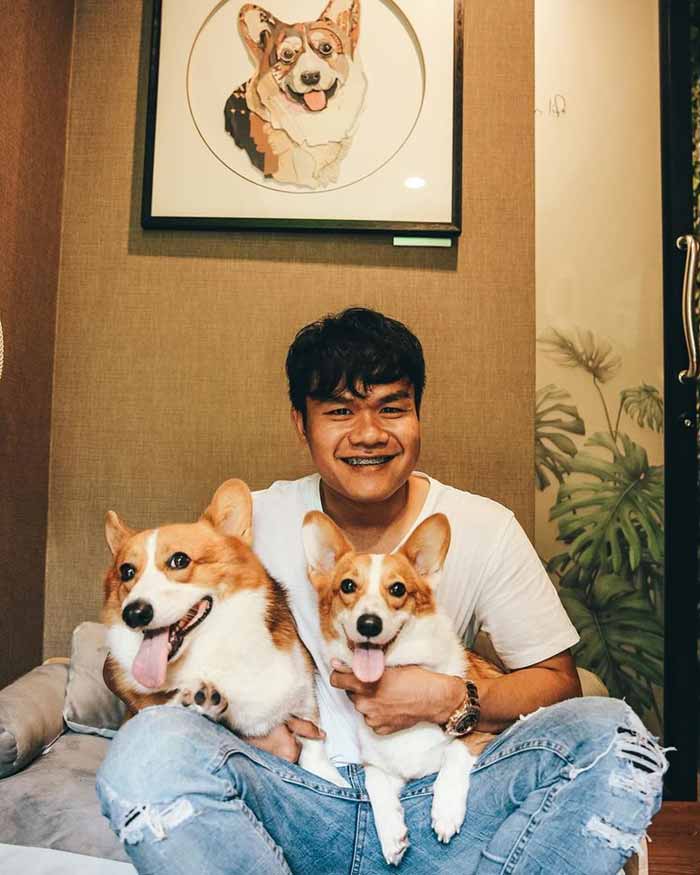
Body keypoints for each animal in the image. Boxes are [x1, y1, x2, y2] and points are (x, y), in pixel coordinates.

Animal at [101, 478, 344, 786]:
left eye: (179, 560)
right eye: (127, 572)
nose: (133, 613)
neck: (214, 644)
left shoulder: (304, 703)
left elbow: (314, 747)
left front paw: (332, 779)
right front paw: (194, 699)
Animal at [302, 510, 504, 865]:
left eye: (397, 589)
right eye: (347, 585)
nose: (369, 624)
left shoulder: (482, 733)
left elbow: (454, 754)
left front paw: (446, 811)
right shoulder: (380, 767)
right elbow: (375, 784)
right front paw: (391, 834)